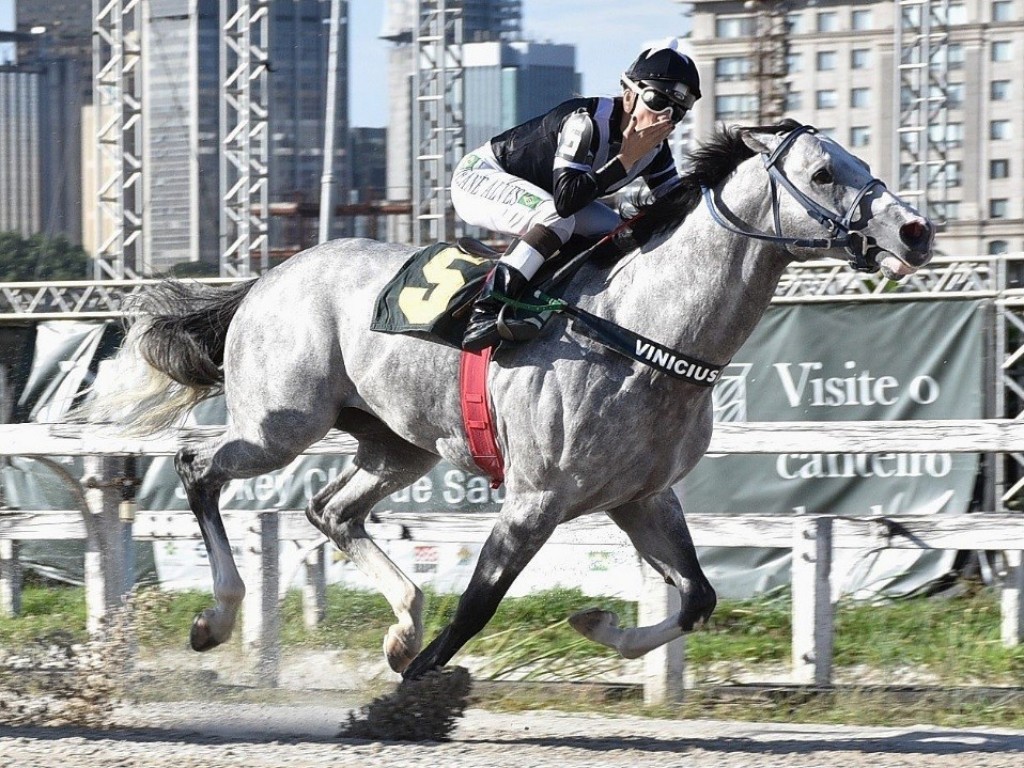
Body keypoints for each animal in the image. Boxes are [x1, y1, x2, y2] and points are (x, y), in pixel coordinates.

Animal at [86, 118, 937, 679]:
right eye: (824, 174)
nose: (917, 232)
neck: (642, 331)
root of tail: (267, 277)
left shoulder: (643, 496)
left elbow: (697, 596)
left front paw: (597, 623)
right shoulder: (536, 497)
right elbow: (478, 605)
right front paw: (415, 685)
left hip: (398, 445)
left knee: (332, 511)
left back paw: (400, 622)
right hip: (282, 424)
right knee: (200, 471)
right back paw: (217, 618)